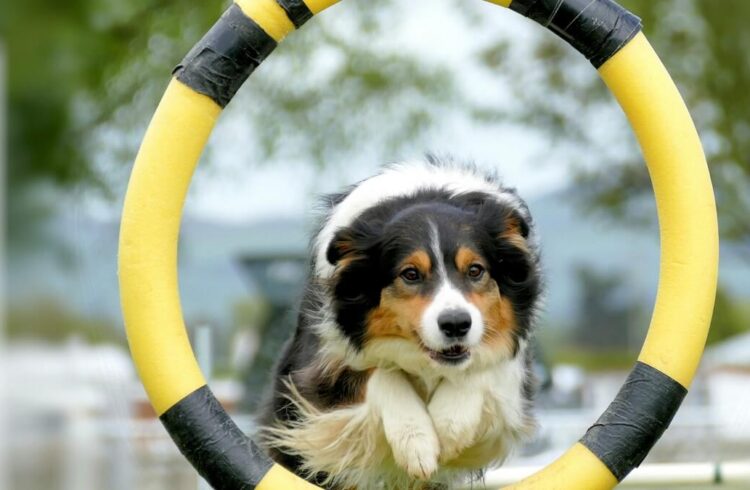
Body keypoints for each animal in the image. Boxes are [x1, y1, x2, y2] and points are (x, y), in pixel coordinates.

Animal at [258, 158, 540, 490]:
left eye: (475, 270)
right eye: (410, 274)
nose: (456, 324)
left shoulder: (512, 369)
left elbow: (486, 366)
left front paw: (447, 427)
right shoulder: (319, 374)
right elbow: (380, 373)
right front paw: (417, 442)